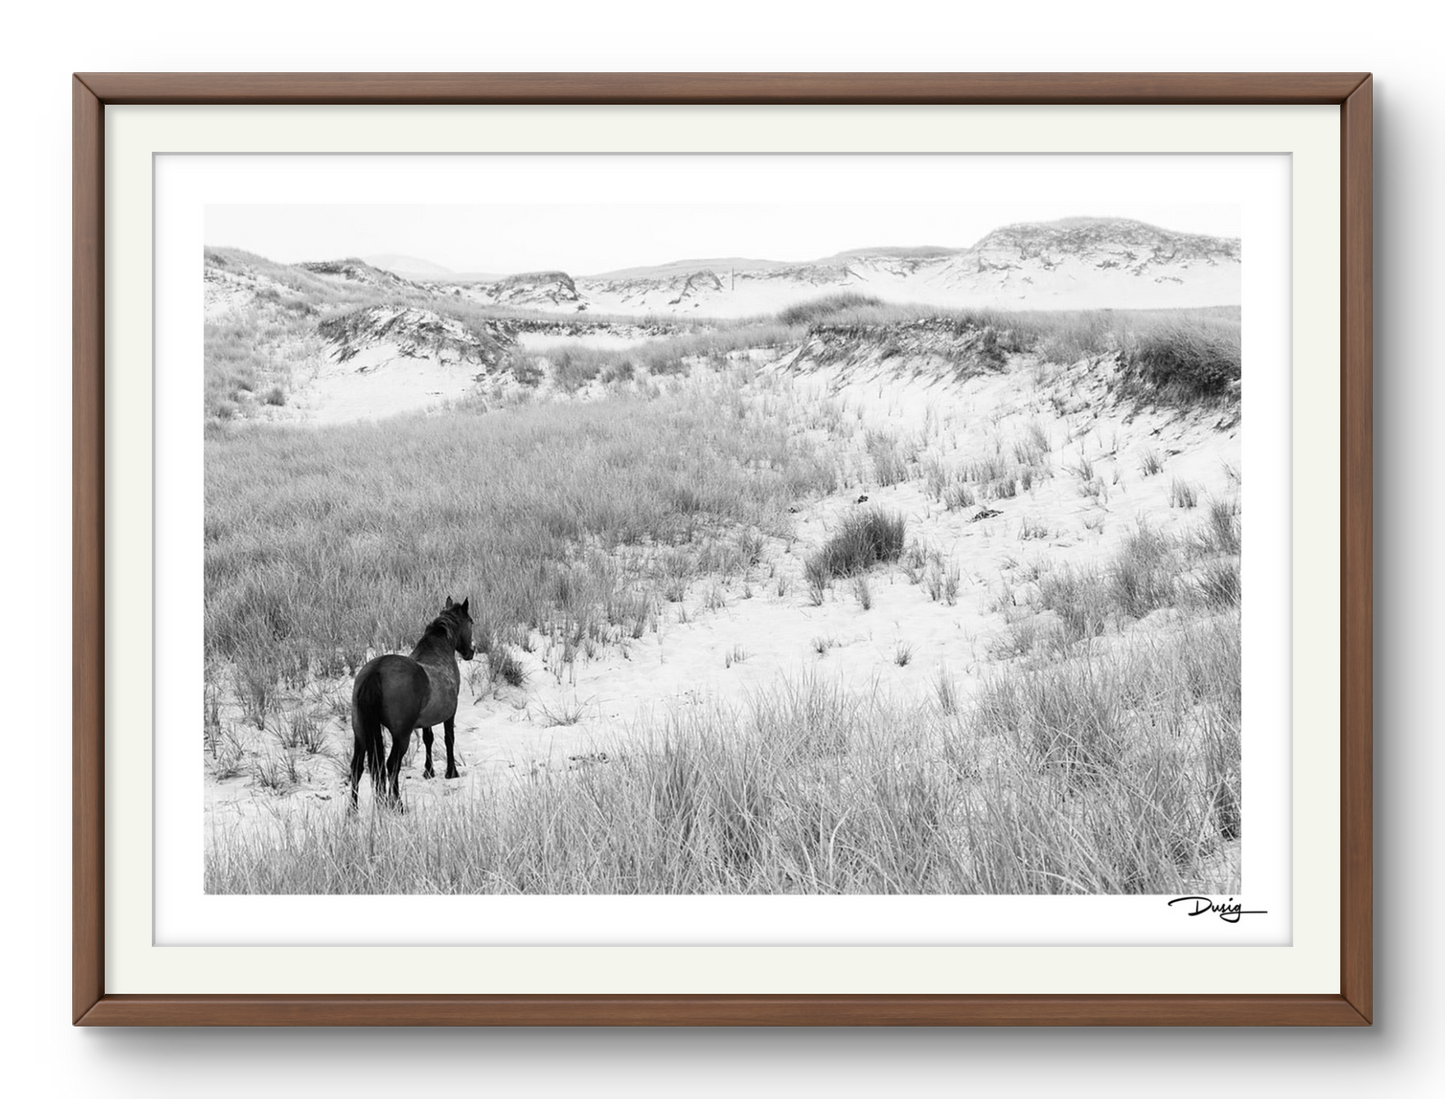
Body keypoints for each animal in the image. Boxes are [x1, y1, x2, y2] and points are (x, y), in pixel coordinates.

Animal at [351, 594, 476, 808]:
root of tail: (376, 671)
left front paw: (429, 771)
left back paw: (353, 811)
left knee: (356, 768)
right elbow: (449, 738)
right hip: (401, 735)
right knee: (391, 765)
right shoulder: (450, 713)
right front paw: (451, 772)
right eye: (471, 622)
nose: (471, 651)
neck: (438, 652)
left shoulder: (426, 720)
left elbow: (428, 738)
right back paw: (398, 805)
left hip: (360, 733)